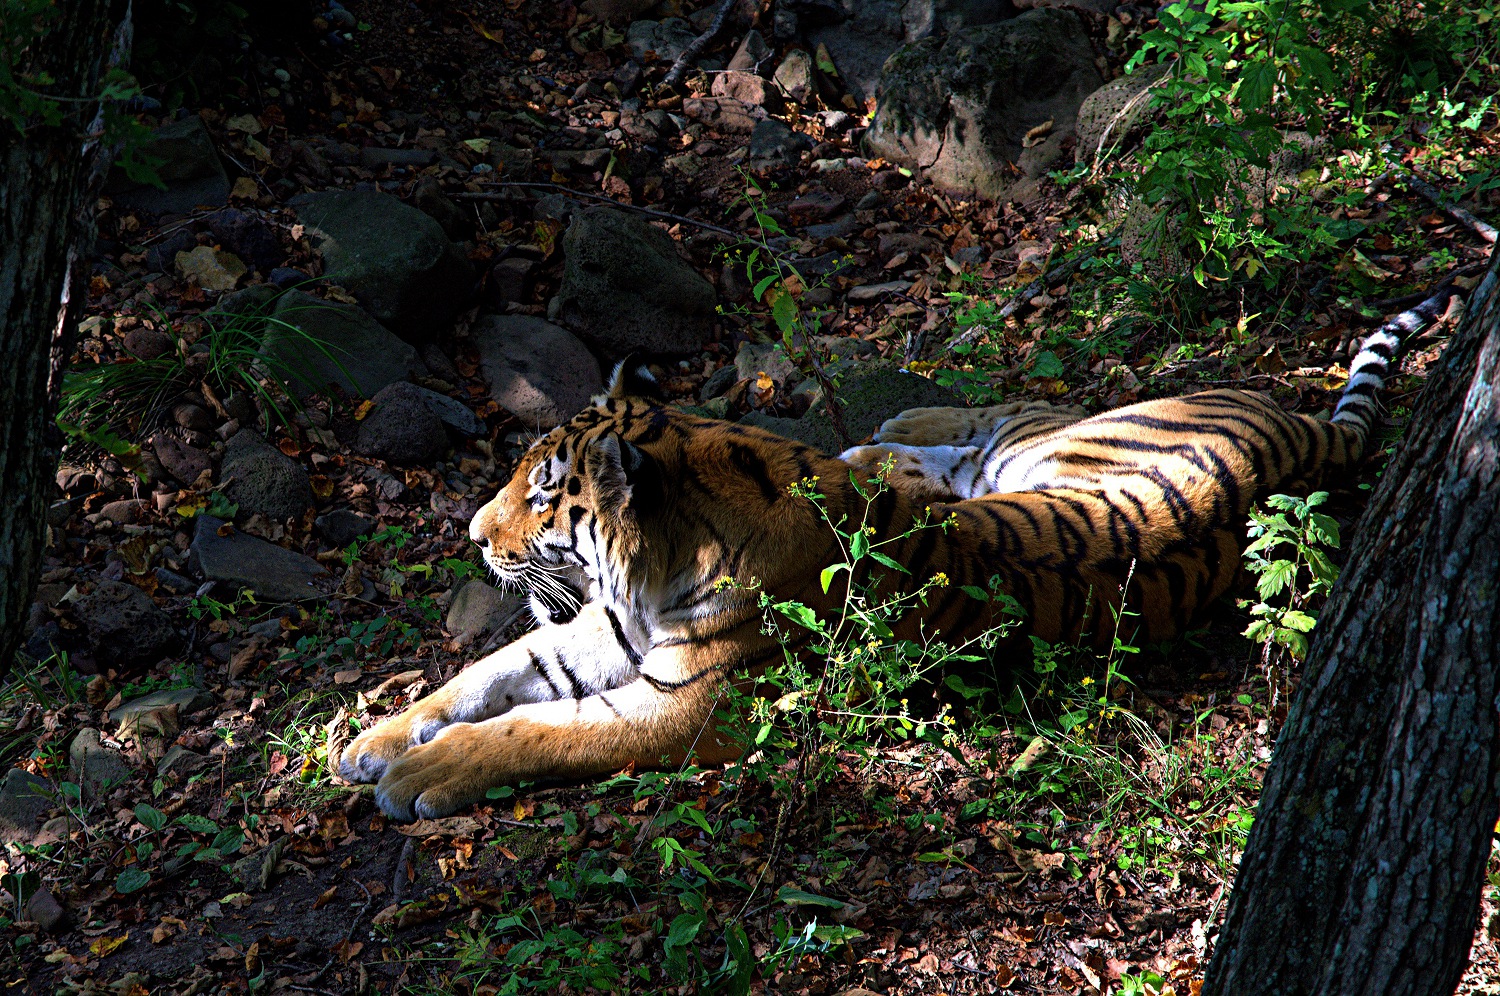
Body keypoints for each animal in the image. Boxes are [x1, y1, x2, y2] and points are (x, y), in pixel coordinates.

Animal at [337, 288, 1452, 816]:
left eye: (539, 495)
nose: (472, 536)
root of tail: (1310, 434)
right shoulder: (603, 636)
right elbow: (484, 675)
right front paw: (368, 742)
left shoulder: (683, 707)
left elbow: (533, 730)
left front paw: (420, 776)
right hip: (1040, 450)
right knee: (952, 432)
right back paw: (882, 446)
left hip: (1063, 437)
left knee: (984, 414)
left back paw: (885, 446)